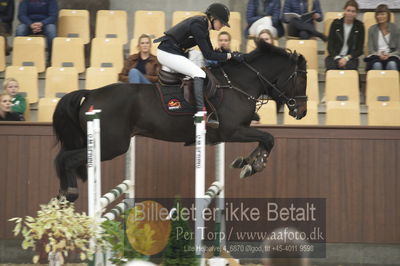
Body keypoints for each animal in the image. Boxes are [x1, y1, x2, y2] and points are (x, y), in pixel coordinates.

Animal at [53, 40, 308, 201]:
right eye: (301, 80)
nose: (302, 111)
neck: (238, 84)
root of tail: (91, 93)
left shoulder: (239, 130)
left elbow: (265, 139)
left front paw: (247, 162)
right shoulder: (231, 131)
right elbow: (269, 137)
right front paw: (254, 165)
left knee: (63, 157)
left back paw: (64, 193)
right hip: (112, 145)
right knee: (66, 158)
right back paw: (70, 192)